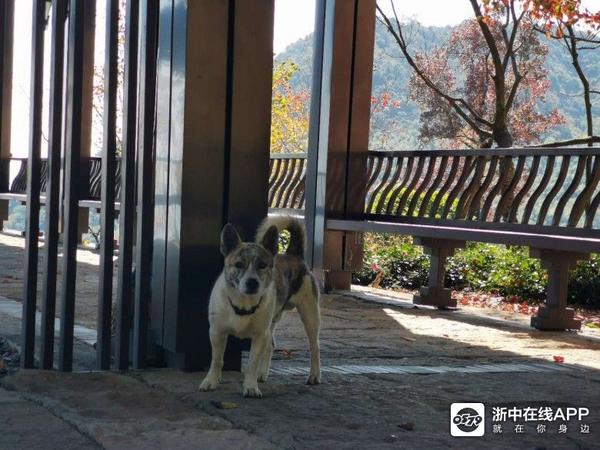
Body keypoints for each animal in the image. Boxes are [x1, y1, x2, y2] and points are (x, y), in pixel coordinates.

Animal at [199, 216, 321, 398]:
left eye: (262, 265)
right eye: (239, 264)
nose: (252, 282)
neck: (244, 303)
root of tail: (293, 254)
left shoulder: (259, 335)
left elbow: (252, 363)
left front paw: (250, 386)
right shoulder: (216, 333)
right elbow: (217, 360)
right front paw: (211, 381)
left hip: (310, 315)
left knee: (314, 347)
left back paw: (314, 375)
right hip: (272, 322)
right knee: (271, 345)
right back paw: (262, 374)